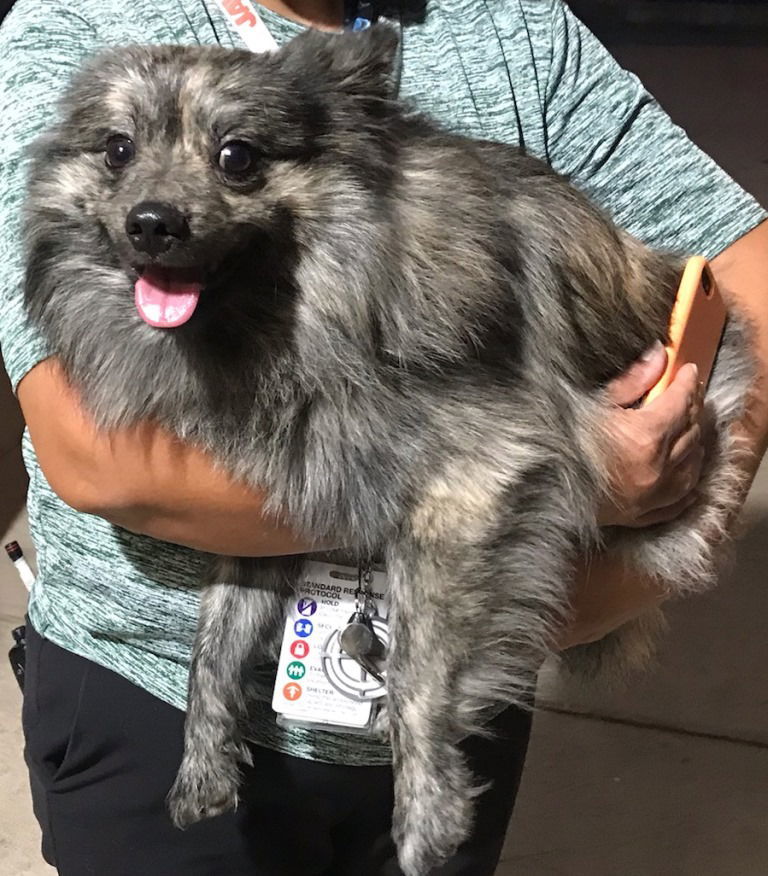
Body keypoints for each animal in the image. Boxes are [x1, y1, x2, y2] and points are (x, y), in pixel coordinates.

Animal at [25, 25, 756, 876]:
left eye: (237, 157)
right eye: (117, 149)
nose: (151, 222)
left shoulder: (476, 482)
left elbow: (416, 668)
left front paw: (429, 810)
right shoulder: (278, 506)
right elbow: (217, 636)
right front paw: (203, 765)